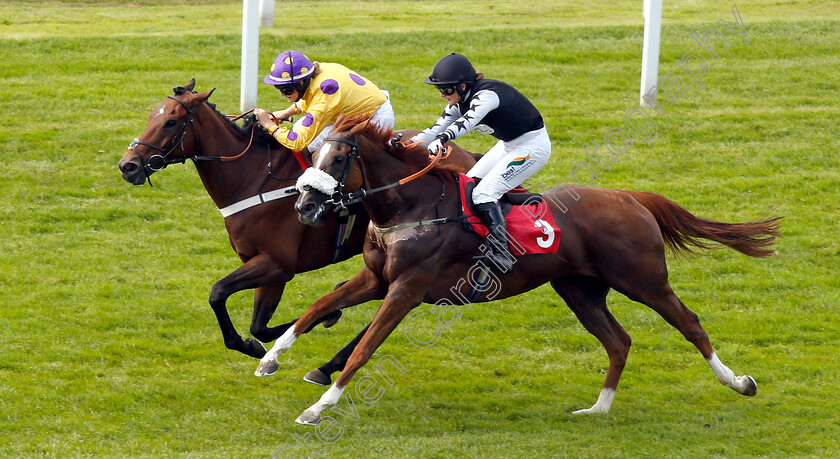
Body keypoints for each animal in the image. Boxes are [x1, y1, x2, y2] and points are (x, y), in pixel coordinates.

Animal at [118, 81, 480, 382]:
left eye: (171, 122)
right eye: (152, 115)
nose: (128, 166)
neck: (253, 178)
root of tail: (466, 159)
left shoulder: (278, 264)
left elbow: (219, 293)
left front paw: (311, 322)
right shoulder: (268, 268)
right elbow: (259, 325)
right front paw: (264, 343)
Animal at [260, 113, 780, 426]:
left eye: (339, 157)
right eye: (312, 154)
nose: (305, 207)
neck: (410, 207)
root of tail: (632, 198)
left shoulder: (406, 288)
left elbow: (364, 349)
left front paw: (317, 408)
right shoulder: (376, 279)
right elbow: (317, 307)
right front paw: (270, 358)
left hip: (643, 280)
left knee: (689, 324)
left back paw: (738, 382)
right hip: (580, 290)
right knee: (618, 341)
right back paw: (598, 407)